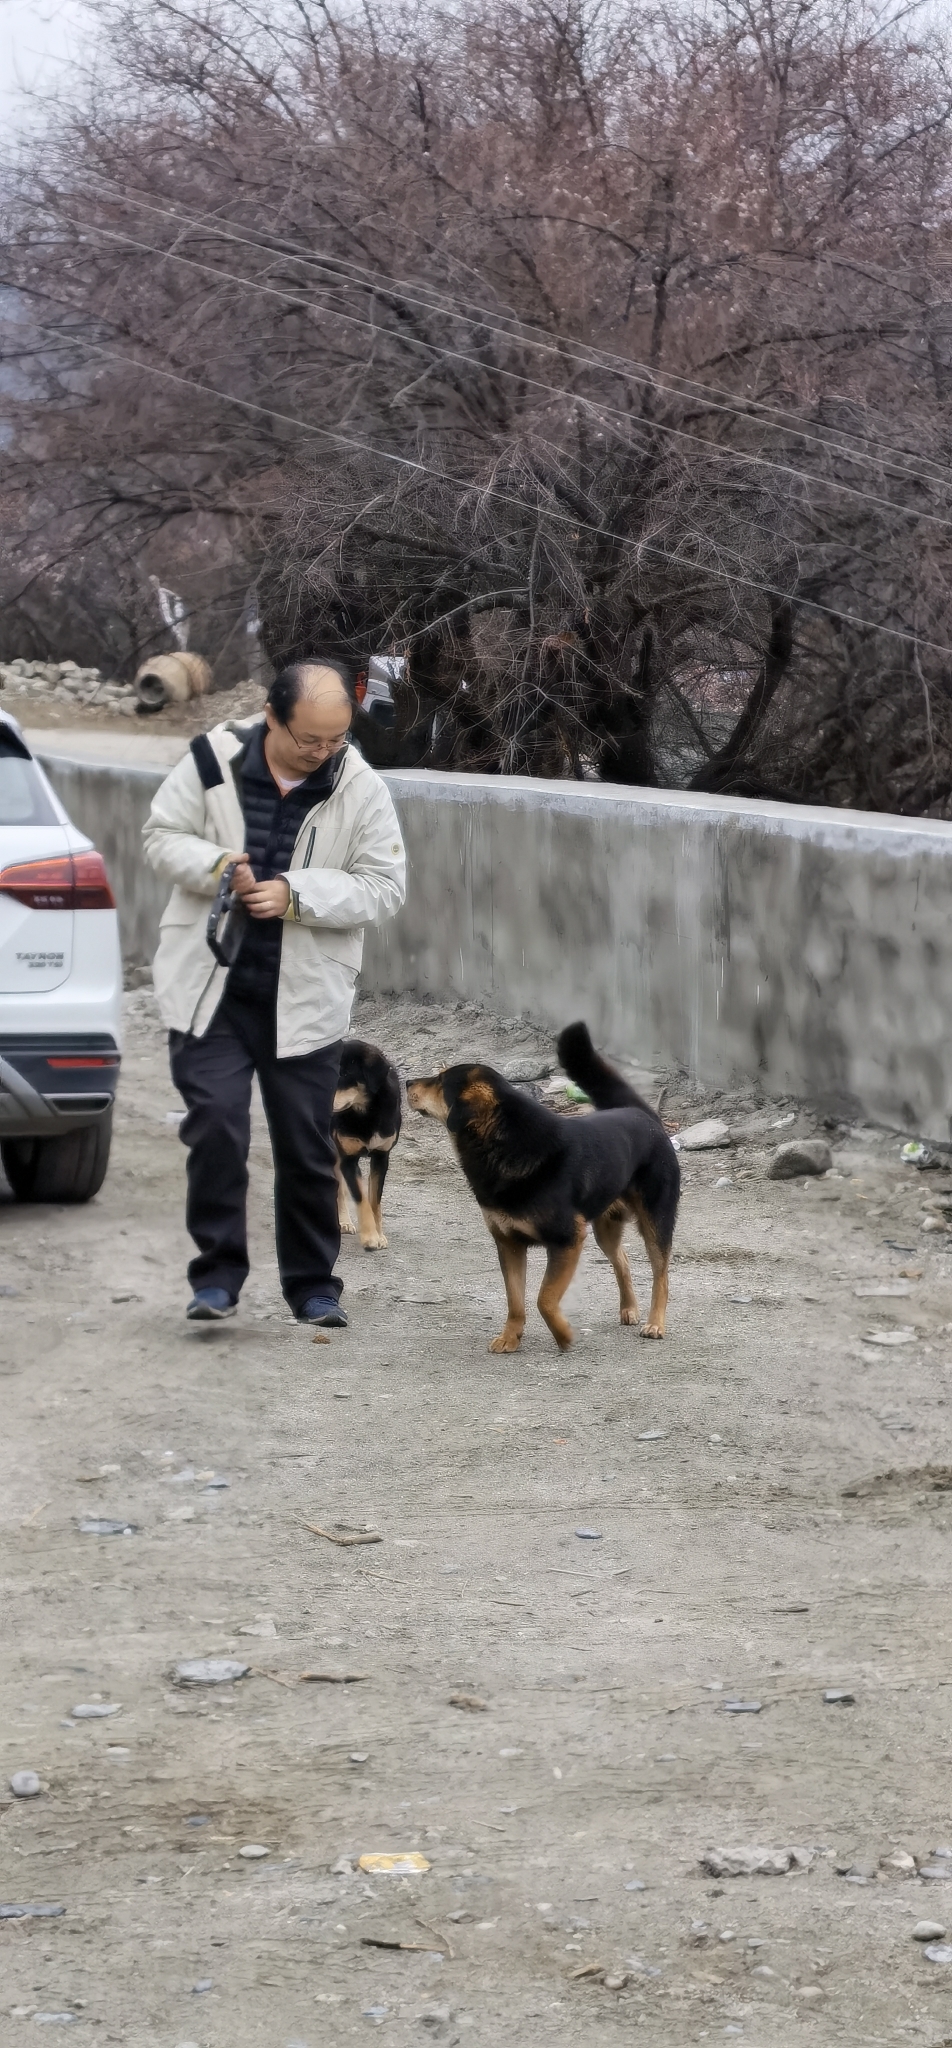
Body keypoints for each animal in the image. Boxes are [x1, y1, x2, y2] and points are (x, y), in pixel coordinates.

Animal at [331, 1040, 399, 1245]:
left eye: (345, 1074)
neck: (366, 1112)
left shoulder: (381, 1157)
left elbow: (374, 1200)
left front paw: (379, 1235)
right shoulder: (349, 1160)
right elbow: (361, 1199)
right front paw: (370, 1237)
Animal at [405, 1019, 679, 1343]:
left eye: (440, 1081)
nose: (406, 1082)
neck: (504, 1143)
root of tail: (643, 1114)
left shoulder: (567, 1241)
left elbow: (544, 1299)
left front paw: (563, 1335)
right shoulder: (509, 1244)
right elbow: (515, 1300)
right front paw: (510, 1338)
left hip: (656, 1221)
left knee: (661, 1274)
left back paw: (656, 1323)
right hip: (606, 1227)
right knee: (622, 1260)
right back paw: (629, 1308)